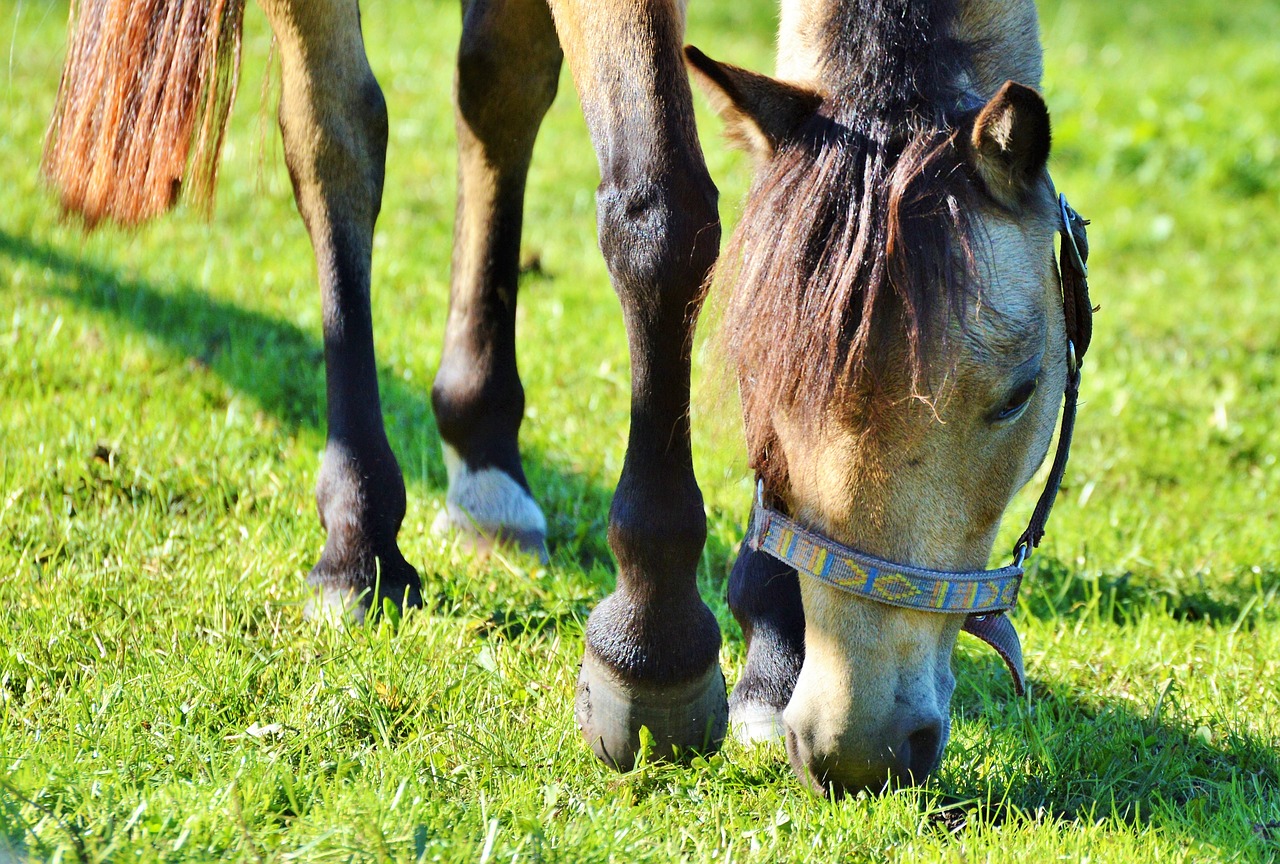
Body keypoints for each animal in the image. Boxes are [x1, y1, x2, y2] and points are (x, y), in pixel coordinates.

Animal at [47, 0, 1090, 798]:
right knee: (335, 134)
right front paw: (652, 646)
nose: (858, 746)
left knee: (497, 82)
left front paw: (771, 647)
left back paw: (484, 457)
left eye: (1019, 395)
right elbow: (663, 214)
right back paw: (358, 541)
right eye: (759, 383)